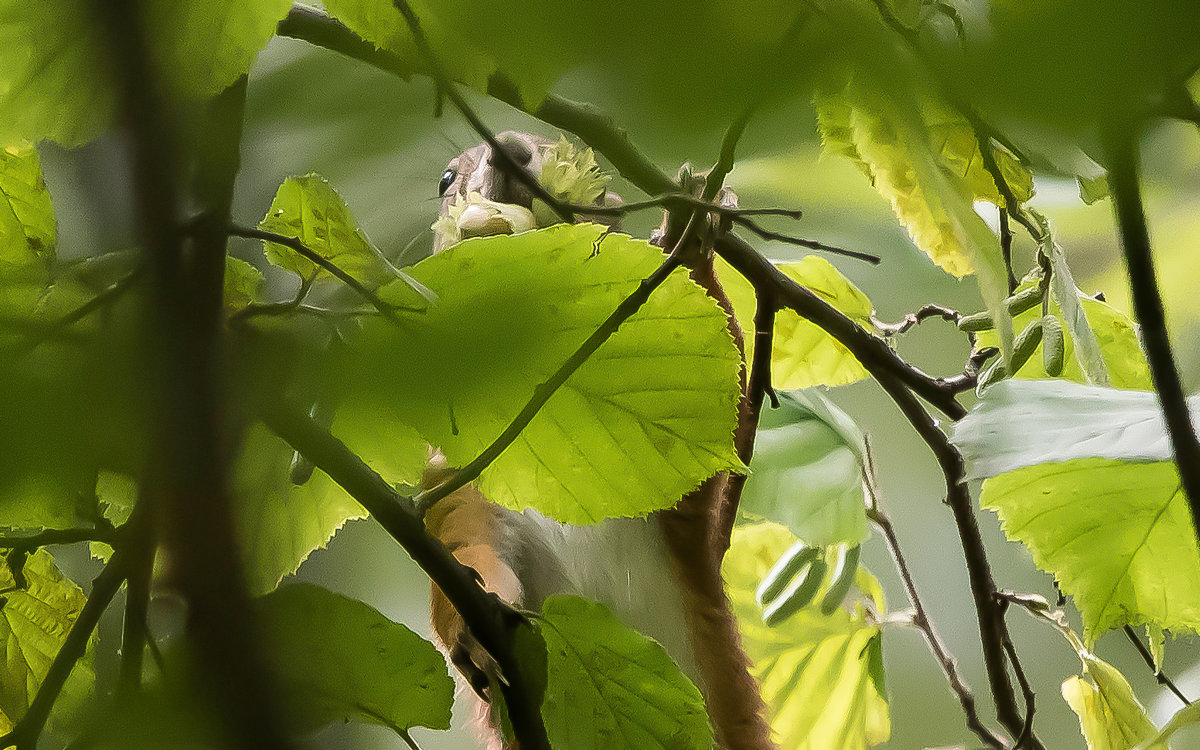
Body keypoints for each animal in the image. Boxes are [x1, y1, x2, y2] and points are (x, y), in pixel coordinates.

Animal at [427, 131, 772, 744]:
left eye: (570, 152)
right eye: (445, 180)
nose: (511, 149)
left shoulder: (669, 496)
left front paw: (689, 230)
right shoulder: (456, 475)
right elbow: (460, 543)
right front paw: (473, 620)